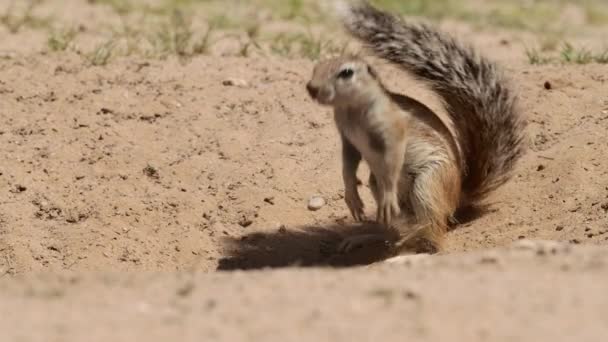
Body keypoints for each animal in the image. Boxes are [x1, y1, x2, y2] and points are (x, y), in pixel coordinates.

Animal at [306, 0, 524, 254]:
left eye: (347, 72)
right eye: (316, 67)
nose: (311, 88)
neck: (352, 110)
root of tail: (458, 196)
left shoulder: (392, 128)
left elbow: (394, 153)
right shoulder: (347, 137)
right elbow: (348, 165)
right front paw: (352, 197)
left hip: (427, 185)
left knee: (434, 234)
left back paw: (408, 246)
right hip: (379, 186)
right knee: (398, 225)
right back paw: (374, 238)